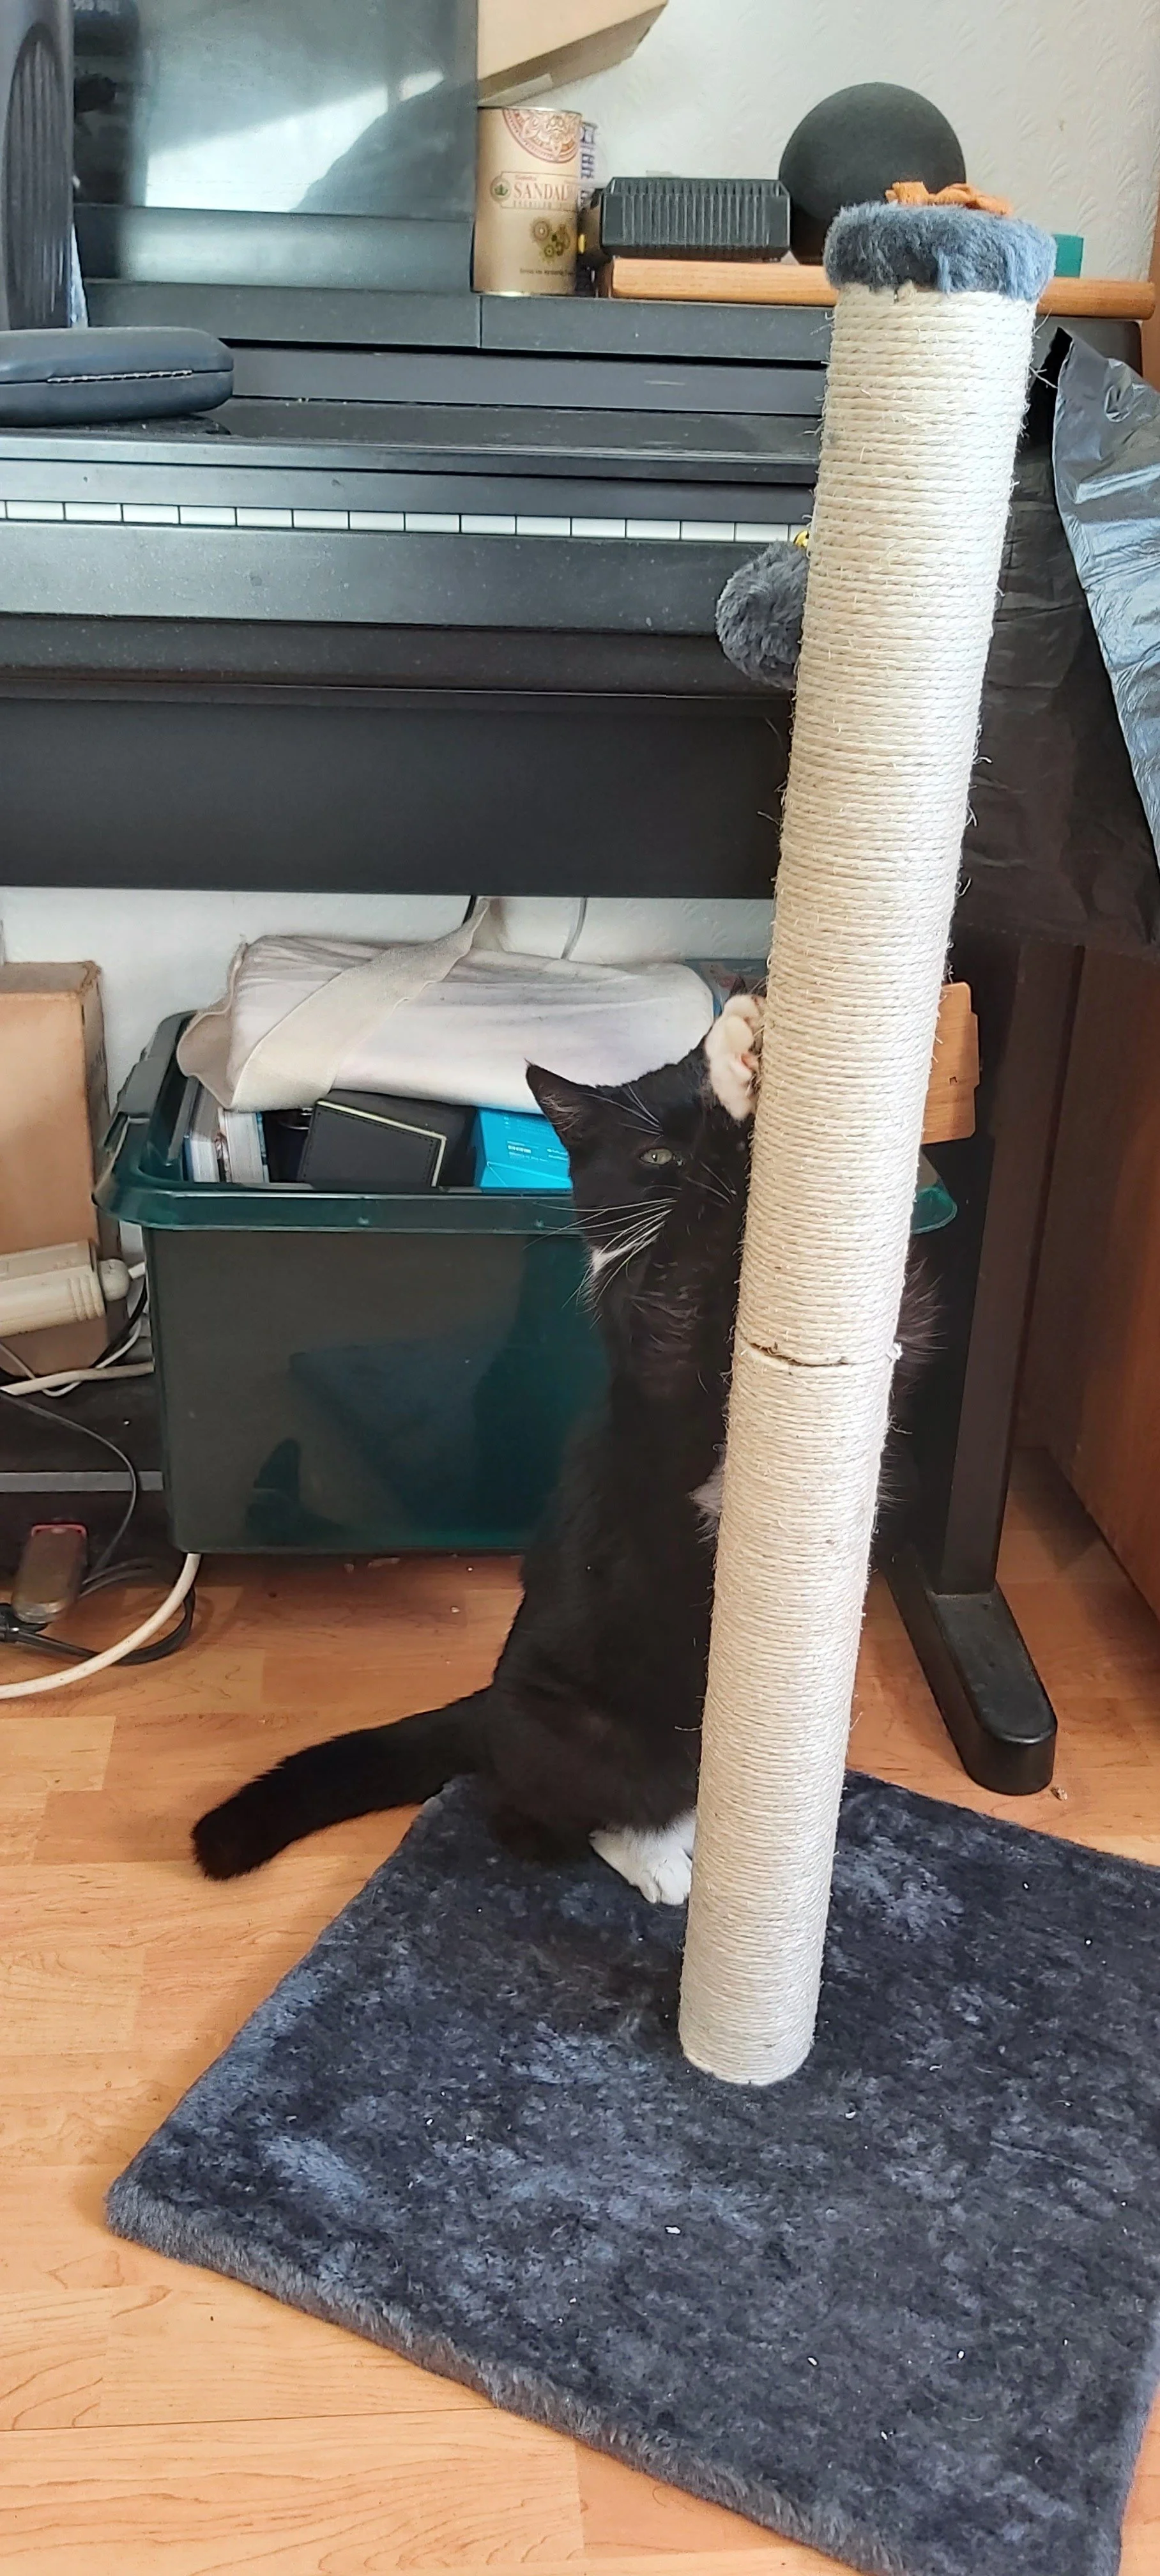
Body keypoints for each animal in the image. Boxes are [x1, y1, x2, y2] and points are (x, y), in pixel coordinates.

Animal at [192, 994, 933, 1906]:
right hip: (594, 1730)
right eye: (656, 1155)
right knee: (550, 1820)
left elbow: (898, 1312)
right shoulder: (656, 1338)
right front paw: (734, 1065)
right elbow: (689, 1251)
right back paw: (660, 1864)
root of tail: (488, 1704)